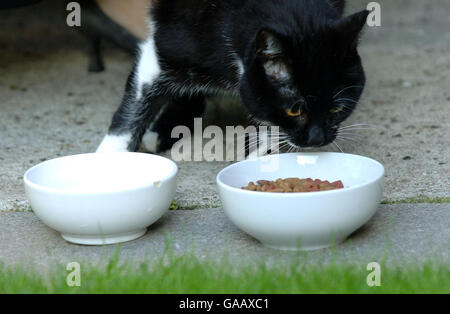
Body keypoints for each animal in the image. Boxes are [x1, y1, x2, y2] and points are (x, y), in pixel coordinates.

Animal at [96, 0, 368, 155]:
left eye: (338, 109)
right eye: (294, 110)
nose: (317, 140)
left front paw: (261, 152)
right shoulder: (165, 47)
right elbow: (136, 103)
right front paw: (110, 160)